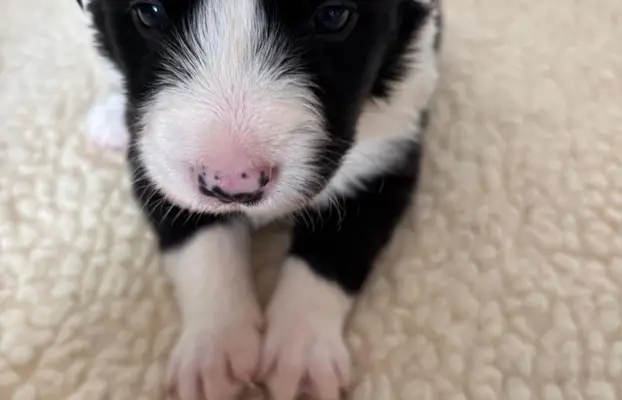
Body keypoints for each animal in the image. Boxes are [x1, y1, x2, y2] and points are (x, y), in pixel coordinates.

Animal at [78, 0, 444, 398]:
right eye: (149, 12)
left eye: (333, 16)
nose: (233, 182)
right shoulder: (152, 159)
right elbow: (201, 242)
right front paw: (213, 348)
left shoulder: (387, 155)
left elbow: (333, 252)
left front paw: (303, 357)